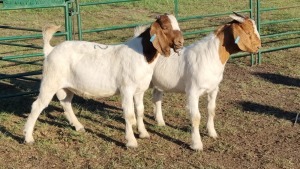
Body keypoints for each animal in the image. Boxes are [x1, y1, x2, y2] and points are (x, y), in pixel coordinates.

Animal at [23, 13, 184, 148]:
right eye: (165, 27)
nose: (180, 42)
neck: (141, 55)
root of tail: (50, 50)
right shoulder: (126, 89)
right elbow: (129, 113)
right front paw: (131, 142)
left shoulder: (139, 90)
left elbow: (140, 111)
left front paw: (144, 133)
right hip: (50, 82)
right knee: (37, 105)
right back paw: (28, 138)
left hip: (65, 86)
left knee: (66, 103)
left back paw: (79, 126)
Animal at [151, 12, 262, 151]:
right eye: (247, 31)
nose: (258, 46)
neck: (209, 56)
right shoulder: (192, 91)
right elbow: (195, 117)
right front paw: (197, 144)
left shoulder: (214, 88)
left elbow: (211, 110)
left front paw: (212, 133)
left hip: (159, 83)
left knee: (157, 97)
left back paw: (160, 122)